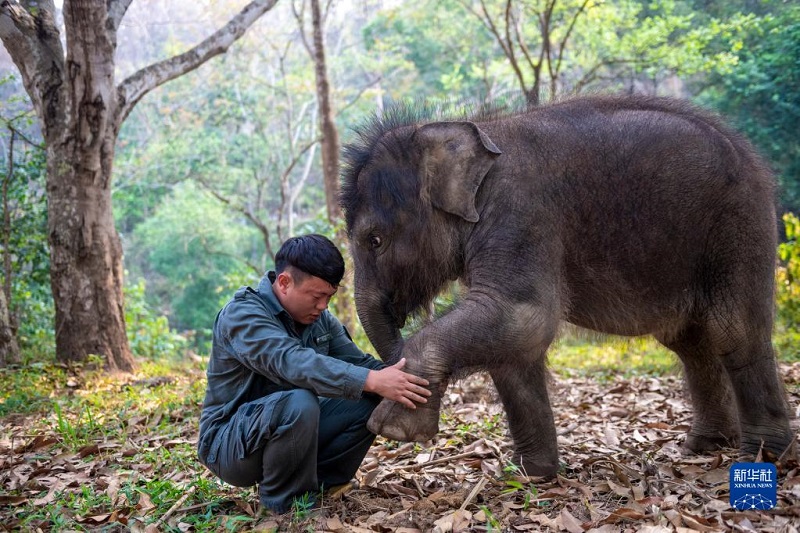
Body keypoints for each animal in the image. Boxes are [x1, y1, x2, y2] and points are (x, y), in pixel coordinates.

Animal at [338, 94, 792, 474]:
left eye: (374, 240)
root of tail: (751, 156)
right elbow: (515, 345)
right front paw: (532, 473)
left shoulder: (520, 212)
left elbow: (525, 316)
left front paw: (396, 428)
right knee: (690, 340)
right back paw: (706, 446)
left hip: (739, 223)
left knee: (732, 329)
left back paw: (764, 457)